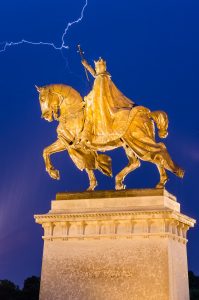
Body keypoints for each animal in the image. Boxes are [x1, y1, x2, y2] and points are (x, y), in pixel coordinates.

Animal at [35, 82, 183, 190]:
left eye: (42, 98)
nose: (45, 116)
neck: (72, 112)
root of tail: (146, 113)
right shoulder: (67, 143)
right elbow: (46, 151)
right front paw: (90, 186)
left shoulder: (71, 143)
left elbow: (85, 162)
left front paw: (53, 172)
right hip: (128, 144)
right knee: (140, 160)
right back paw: (121, 182)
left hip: (137, 139)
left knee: (158, 151)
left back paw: (167, 179)